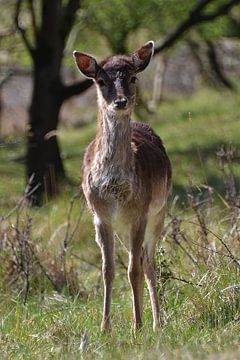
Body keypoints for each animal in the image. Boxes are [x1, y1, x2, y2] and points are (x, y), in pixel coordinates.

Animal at [74, 40, 172, 334]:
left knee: (147, 262)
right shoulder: (100, 217)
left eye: (133, 77)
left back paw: (157, 323)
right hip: (123, 228)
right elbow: (108, 270)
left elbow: (134, 270)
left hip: (159, 213)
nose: (120, 101)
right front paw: (104, 327)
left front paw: (137, 327)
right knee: (138, 259)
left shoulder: (139, 212)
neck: (114, 188)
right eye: (100, 80)